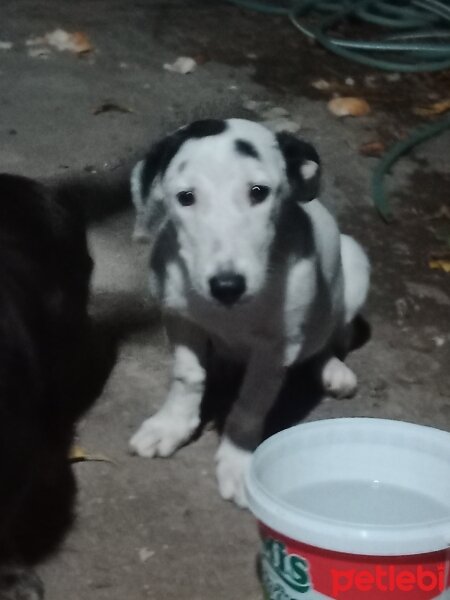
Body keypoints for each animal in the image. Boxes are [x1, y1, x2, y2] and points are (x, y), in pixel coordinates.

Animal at [130, 119, 370, 508]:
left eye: (259, 192)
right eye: (185, 197)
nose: (227, 286)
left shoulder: (276, 347)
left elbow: (251, 402)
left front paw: (239, 461)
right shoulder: (180, 318)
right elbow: (187, 377)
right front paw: (172, 425)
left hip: (355, 264)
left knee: (328, 337)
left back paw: (332, 369)